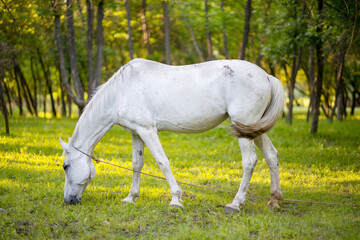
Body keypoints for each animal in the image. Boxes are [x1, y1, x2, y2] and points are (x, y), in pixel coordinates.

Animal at [59, 58, 284, 212]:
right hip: (253, 129)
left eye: (65, 166)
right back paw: (274, 200)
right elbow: (137, 164)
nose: (68, 200)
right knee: (271, 155)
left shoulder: (148, 130)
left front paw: (175, 199)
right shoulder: (136, 133)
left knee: (250, 161)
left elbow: (162, 162)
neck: (121, 91)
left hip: (244, 128)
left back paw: (236, 203)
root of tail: (266, 76)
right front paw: (131, 197)